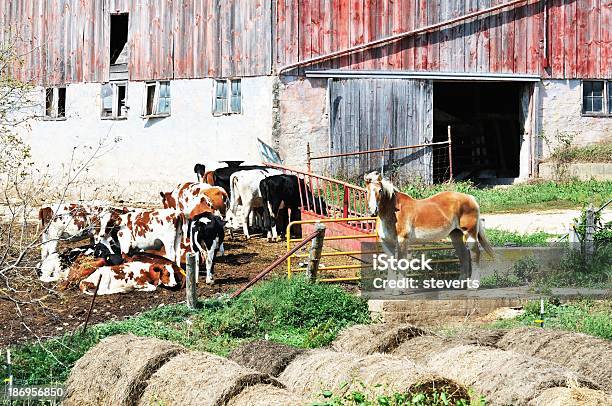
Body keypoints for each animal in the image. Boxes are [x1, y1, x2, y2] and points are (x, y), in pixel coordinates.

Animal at [364, 171, 492, 272]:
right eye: (366, 191)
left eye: (380, 190)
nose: (373, 211)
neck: (393, 212)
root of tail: (471, 198)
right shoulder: (386, 243)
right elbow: (391, 267)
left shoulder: (402, 241)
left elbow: (401, 265)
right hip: (455, 234)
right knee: (464, 256)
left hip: (470, 233)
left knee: (475, 255)